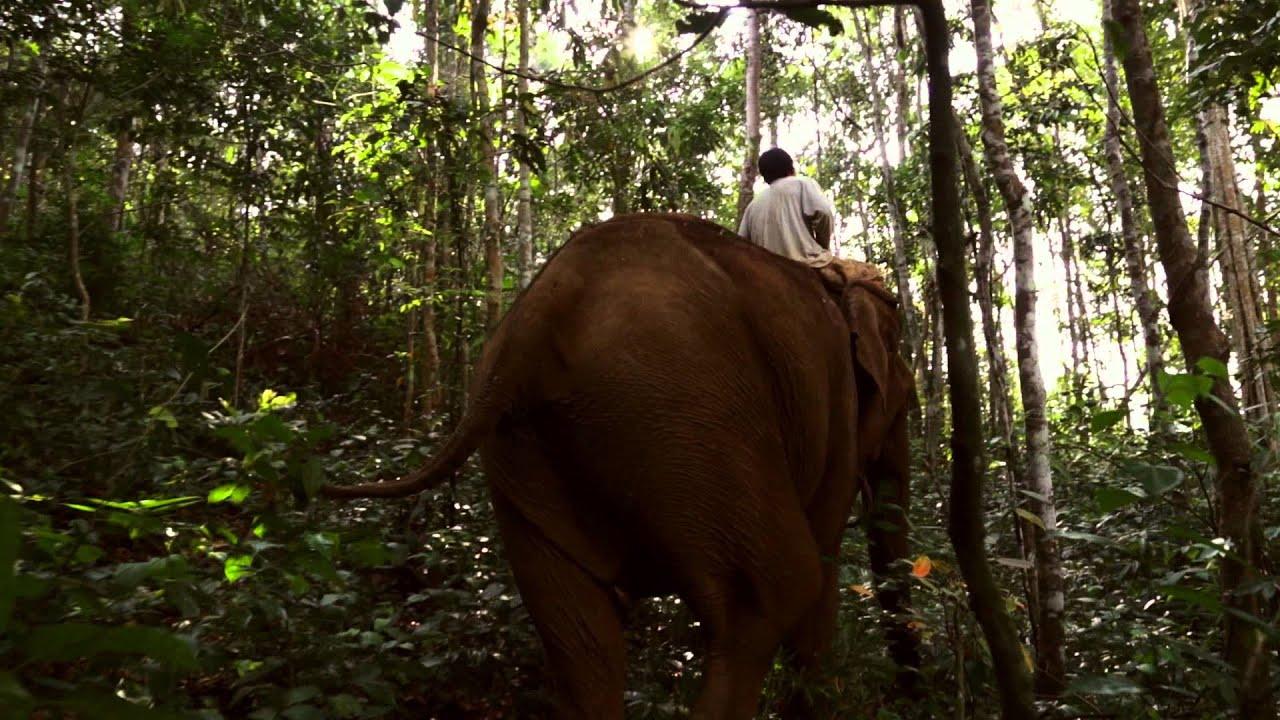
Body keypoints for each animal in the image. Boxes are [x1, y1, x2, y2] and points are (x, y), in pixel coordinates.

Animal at [324, 213, 918, 719]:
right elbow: (822, 570)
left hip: (533, 455)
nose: (910, 690)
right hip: (687, 412)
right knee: (773, 592)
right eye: (903, 393)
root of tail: (533, 321)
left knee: (578, 635)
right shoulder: (836, 414)